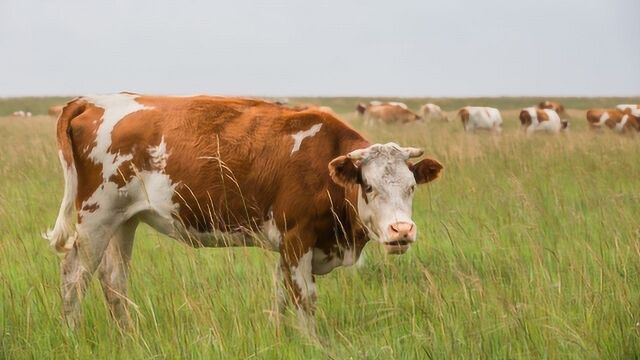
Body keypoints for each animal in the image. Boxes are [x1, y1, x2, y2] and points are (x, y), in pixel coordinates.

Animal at [46, 93, 444, 334]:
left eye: (411, 187)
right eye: (369, 187)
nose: (401, 230)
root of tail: (93, 100)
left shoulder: (287, 247)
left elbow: (280, 297)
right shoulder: (297, 238)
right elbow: (304, 298)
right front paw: (311, 342)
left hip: (123, 220)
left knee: (114, 281)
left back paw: (127, 337)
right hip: (96, 217)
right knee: (74, 277)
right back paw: (73, 334)